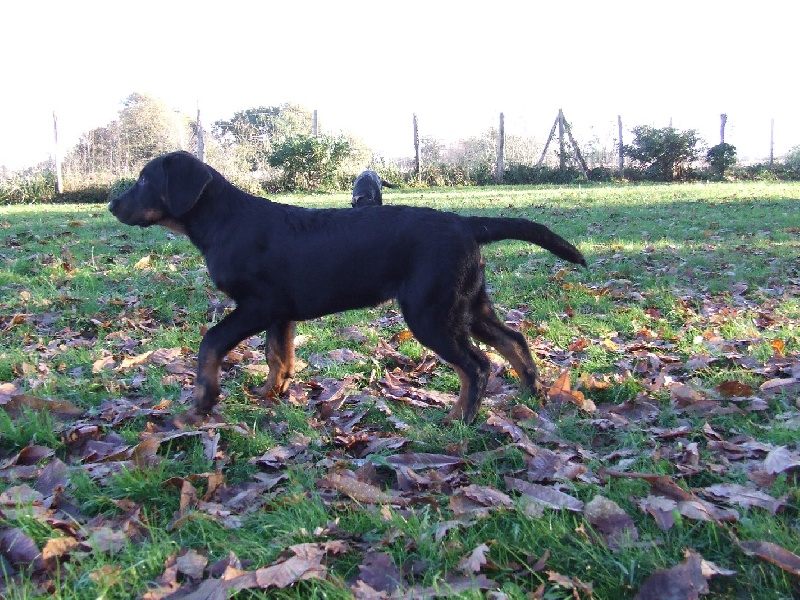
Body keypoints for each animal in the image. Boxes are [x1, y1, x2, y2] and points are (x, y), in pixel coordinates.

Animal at [109, 151, 584, 422]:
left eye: (145, 180)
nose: (111, 204)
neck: (223, 220)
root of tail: (466, 224)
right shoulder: (280, 312)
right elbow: (278, 356)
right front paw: (270, 394)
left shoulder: (258, 304)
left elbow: (211, 341)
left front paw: (203, 401)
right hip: (466, 302)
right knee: (512, 340)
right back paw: (533, 391)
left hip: (430, 311)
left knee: (477, 365)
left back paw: (459, 419)